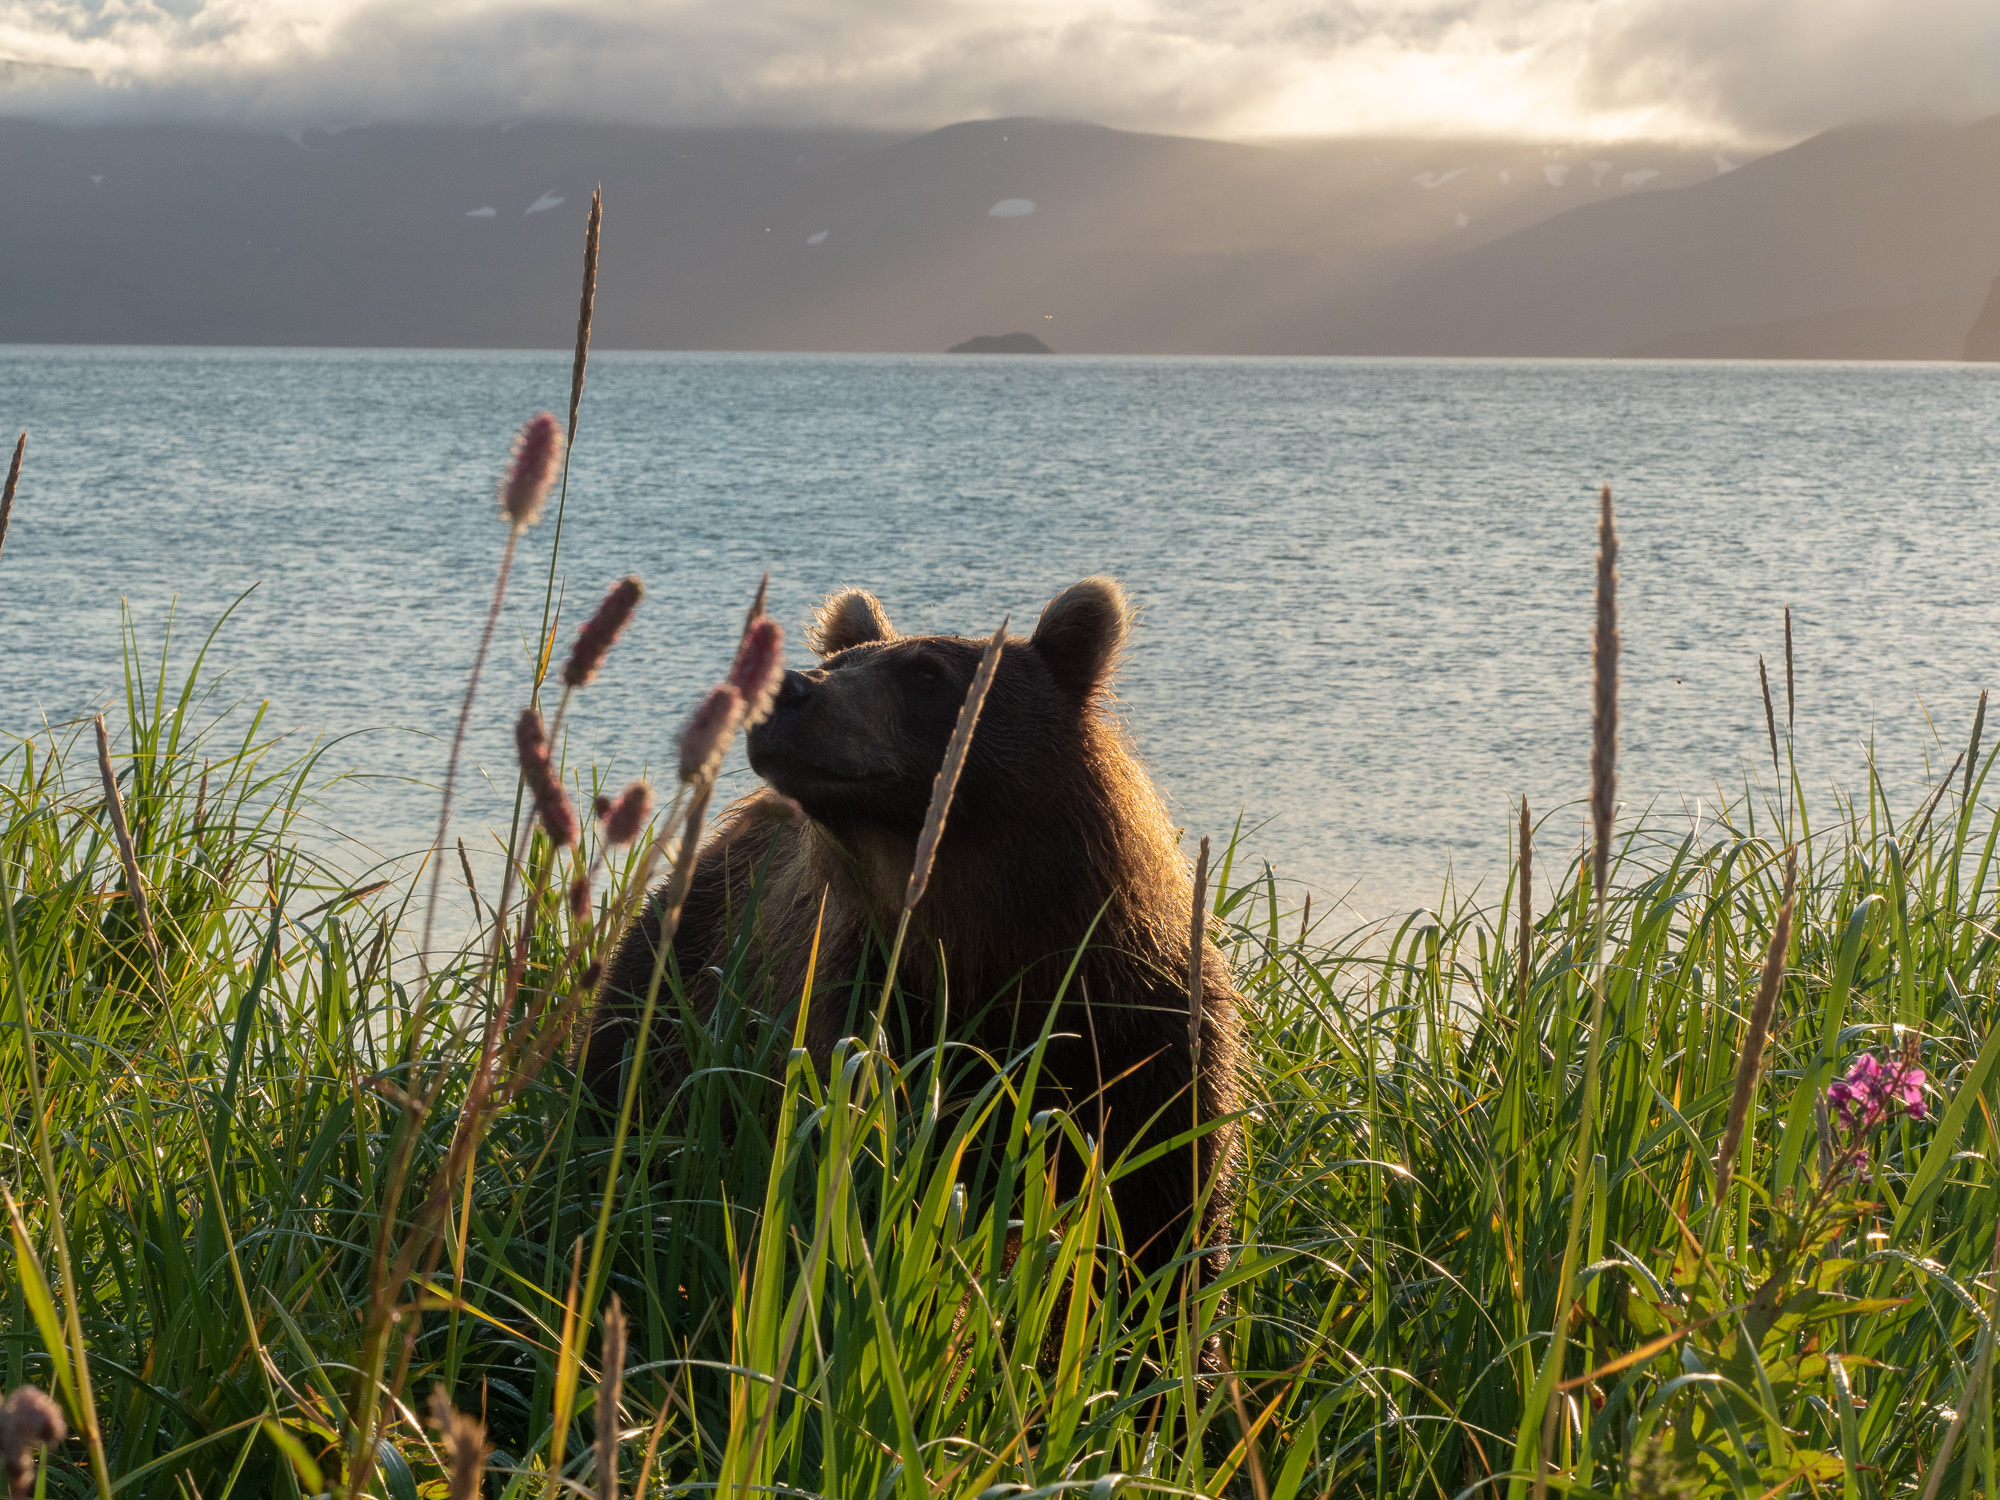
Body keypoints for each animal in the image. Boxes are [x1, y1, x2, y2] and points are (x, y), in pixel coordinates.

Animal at [580, 580, 1240, 1288]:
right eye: (841, 661)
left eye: (925, 672)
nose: (789, 690)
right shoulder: (869, 1008)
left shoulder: (1137, 1026)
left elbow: (1168, 1212)